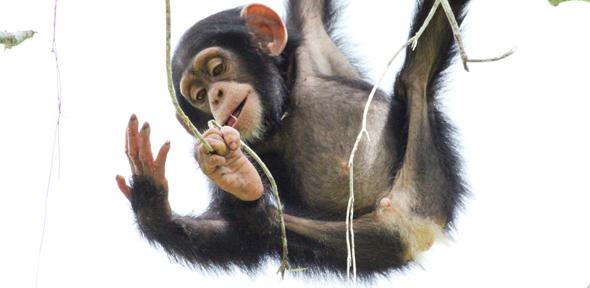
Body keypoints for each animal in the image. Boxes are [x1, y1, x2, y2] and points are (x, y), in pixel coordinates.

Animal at [114, 0, 468, 278]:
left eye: (217, 68)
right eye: (198, 95)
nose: (215, 96)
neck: (281, 112)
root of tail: (414, 227)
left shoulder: (311, 38)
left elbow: (310, 7)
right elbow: (234, 239)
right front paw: (152, 200)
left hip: (425, 185)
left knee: (417, 75)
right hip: (368, 241)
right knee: (262, 231)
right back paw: (244, 187)